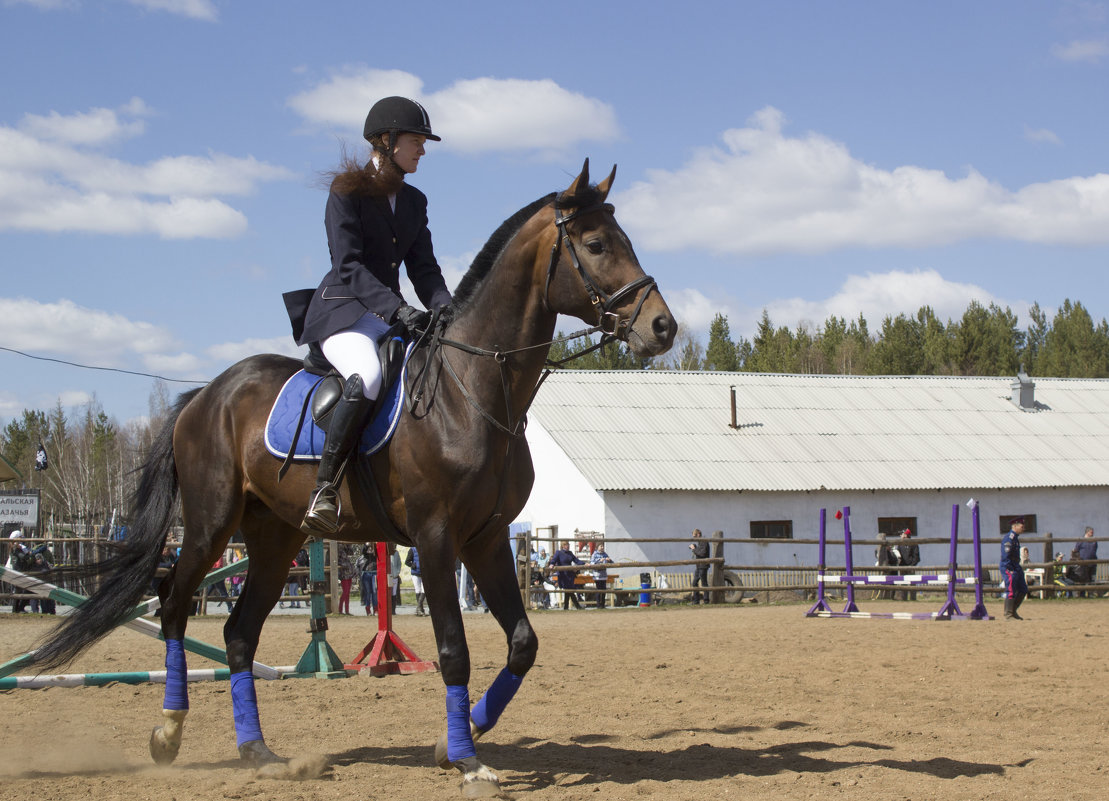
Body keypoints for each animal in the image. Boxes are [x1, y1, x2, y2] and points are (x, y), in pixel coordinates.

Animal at [26, 160, 674, 794]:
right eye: (595, 244)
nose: (663, 328)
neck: (474, 391)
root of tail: (206, 395)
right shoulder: (437, 539)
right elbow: (453, 650)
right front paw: (468, 761)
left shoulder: (487, 539)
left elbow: (522, 645)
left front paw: (453, 743)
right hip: (211, 524)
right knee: (173, 604)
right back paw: (168, 732)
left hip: (275, 537)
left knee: (238, 633)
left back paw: (260, 753)